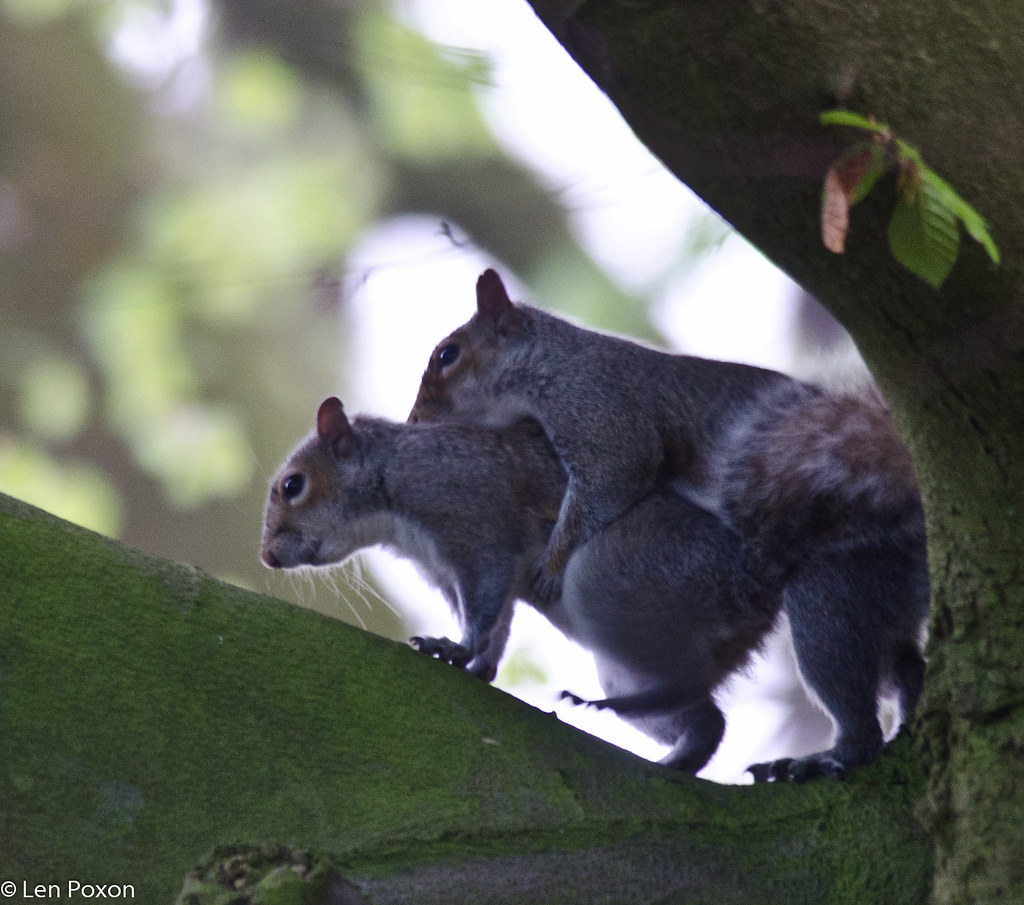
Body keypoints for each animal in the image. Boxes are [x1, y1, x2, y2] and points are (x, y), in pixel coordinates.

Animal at [261, 397, 782, 774]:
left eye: (293, 485)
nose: (267, 557)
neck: (396, 479)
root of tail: (756, 599)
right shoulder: (456, 574)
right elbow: (498, 622)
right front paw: (479, 665)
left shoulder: (478, 527)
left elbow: (485, 606)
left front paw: (453, 648)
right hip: (628, 662)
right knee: (703, 718)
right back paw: (674, 753)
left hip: (619, 578)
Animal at [408, 269, 929, 782]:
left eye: (448, 355)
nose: (414, 421)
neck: (557, 359)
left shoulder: (600, 410)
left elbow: (611, 479)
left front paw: (552, 566)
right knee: (903, 662)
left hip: (841, 579)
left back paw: (833, 754)